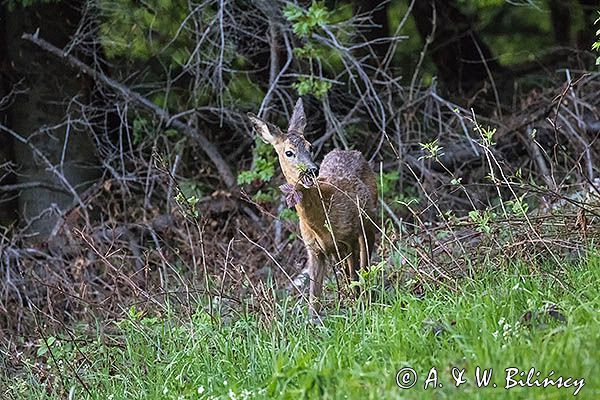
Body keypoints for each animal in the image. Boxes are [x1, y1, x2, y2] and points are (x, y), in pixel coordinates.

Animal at [247, 97, 378, 318]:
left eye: (310, 147)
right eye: (289, 152)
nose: (312, 170)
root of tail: (350, 151)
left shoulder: (348, 236)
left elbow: (354, 275)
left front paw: (360, 308)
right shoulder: (314, 248)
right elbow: (313, 298)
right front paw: (314, 320)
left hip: (368, 223)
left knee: (363, 264)